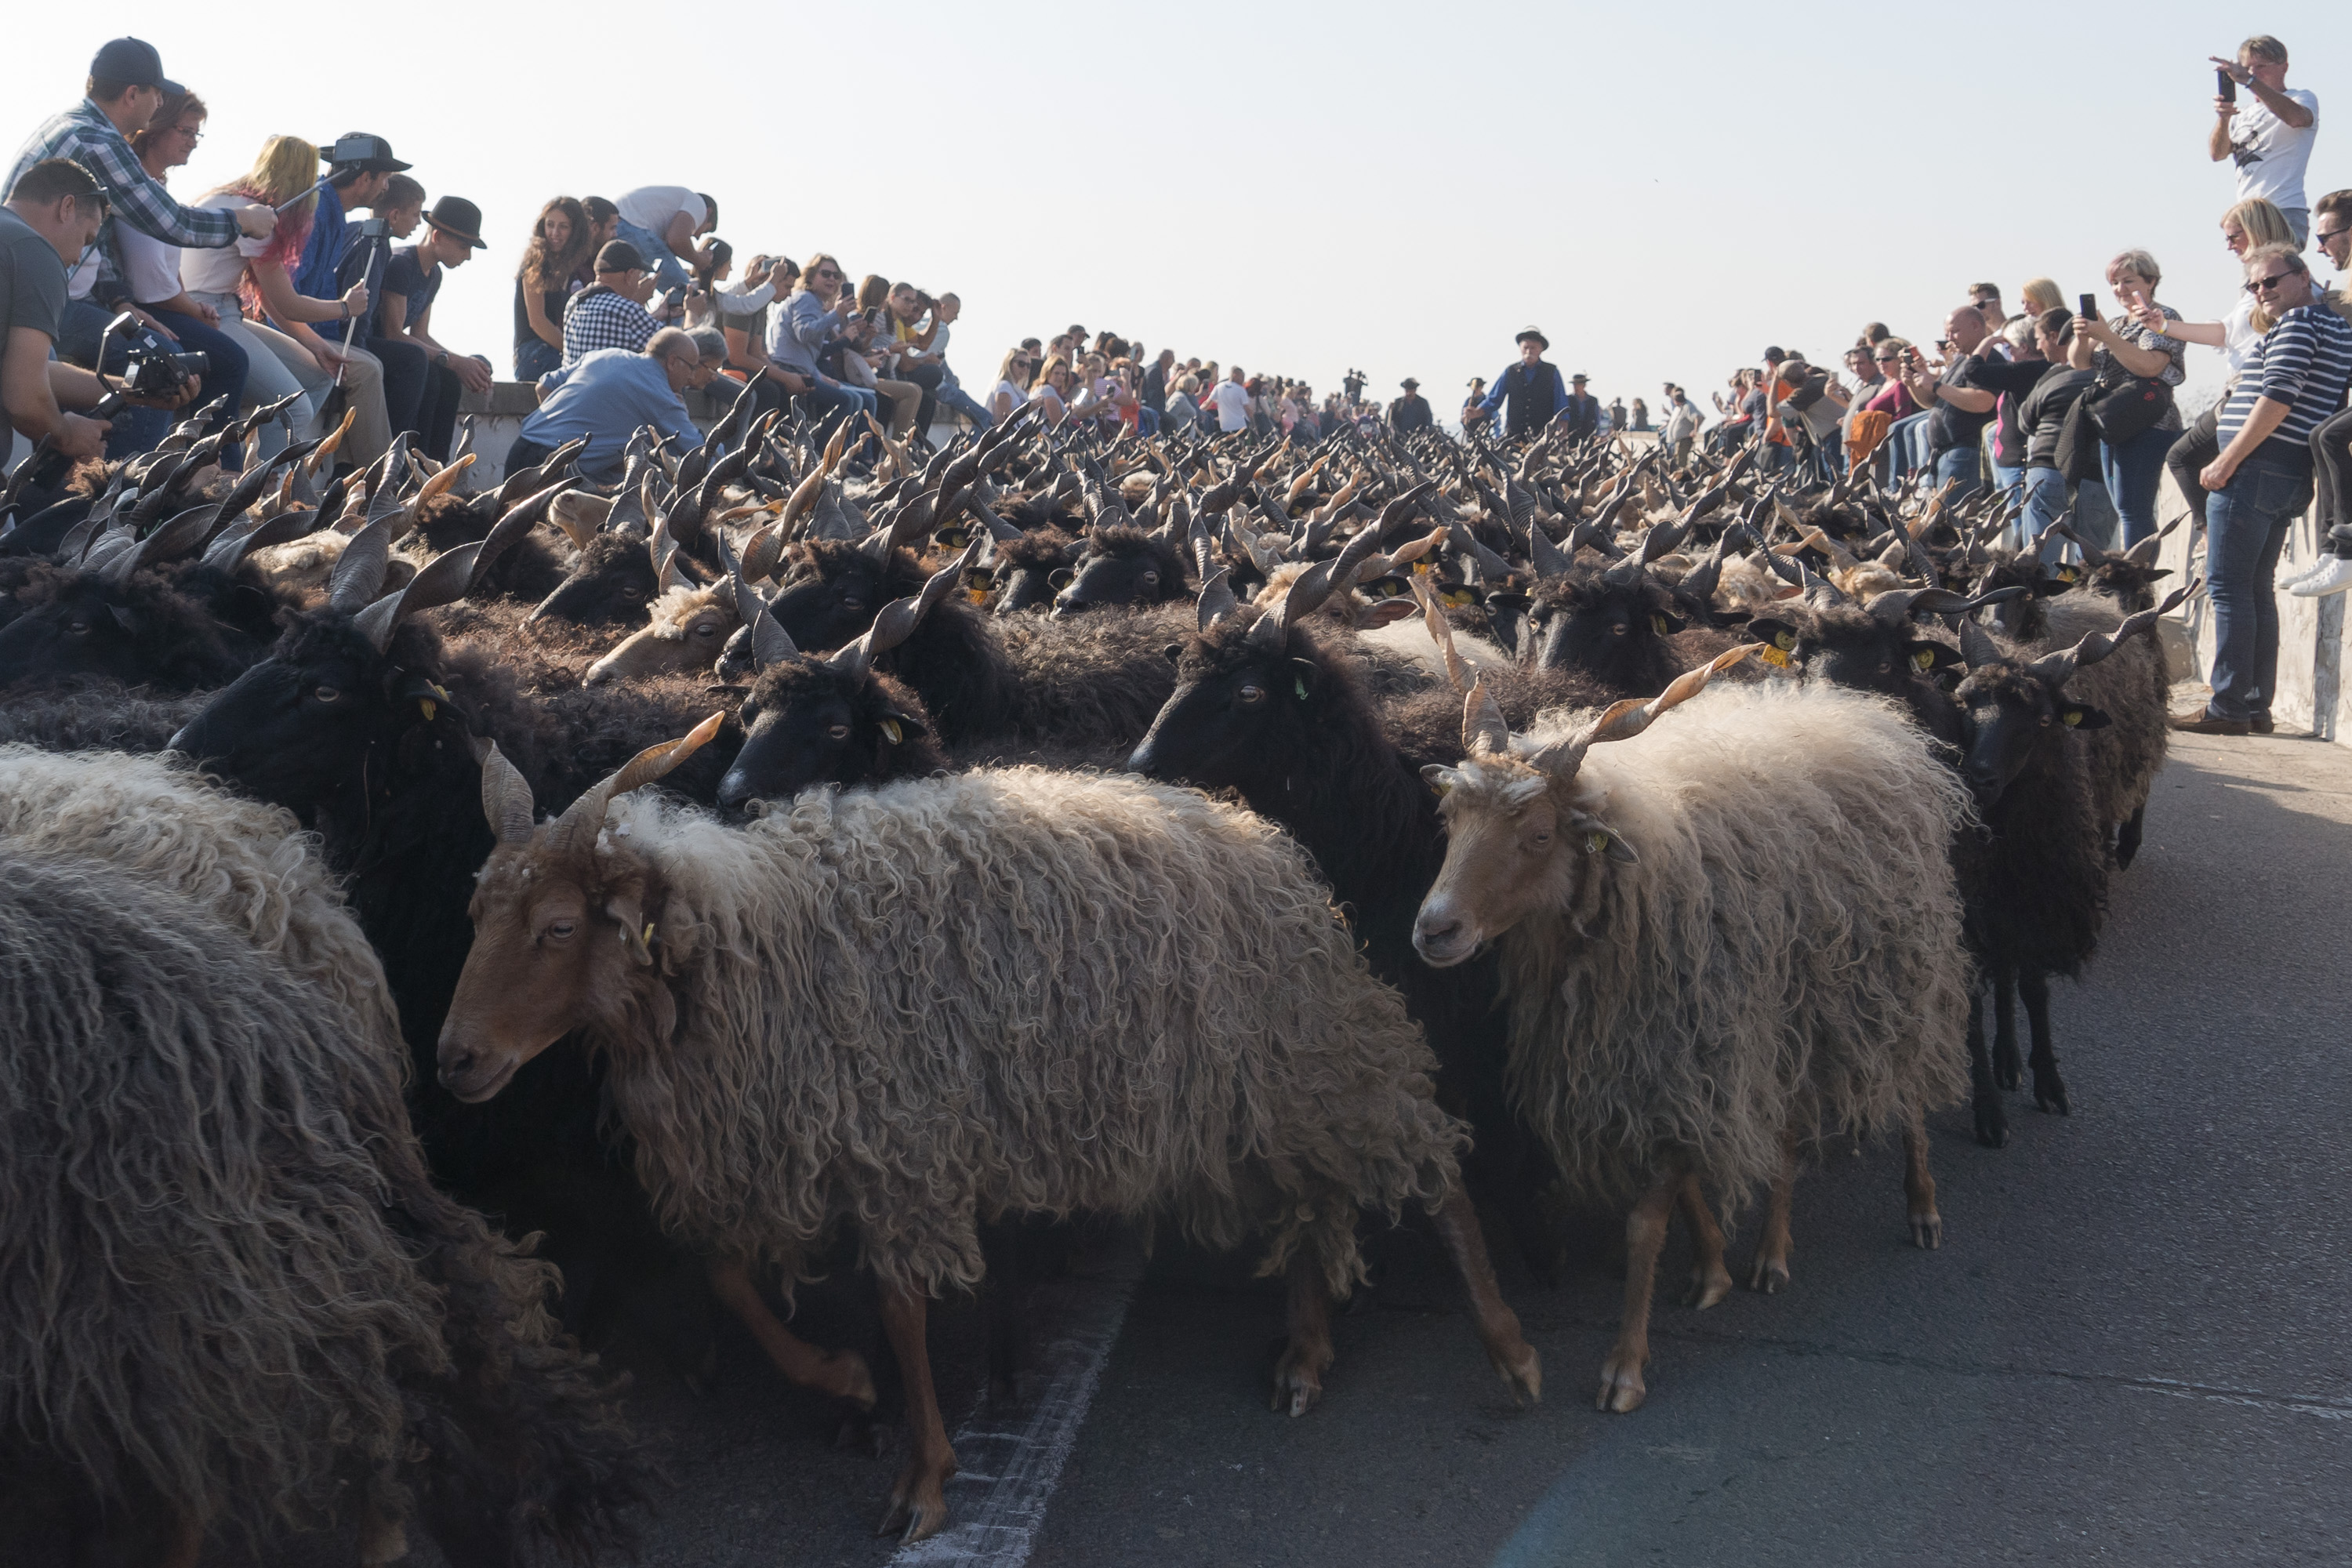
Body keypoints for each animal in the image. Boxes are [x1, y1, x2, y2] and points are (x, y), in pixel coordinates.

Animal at [437, 721, 1542, 1542]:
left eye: (557, 928)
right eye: (477, 913)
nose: (454, 1058)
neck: (741, 942)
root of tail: (1259, 838)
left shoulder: (902, 1140)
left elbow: (900, 1312)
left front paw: (923, 1479)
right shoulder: (781, 1148)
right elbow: (728, 1279)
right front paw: (844, 1383)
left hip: (1312, 1049)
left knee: (1426, 1165)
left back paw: (1507, 1345)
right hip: (1242, 1089)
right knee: (1311, 1198)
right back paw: (1308, 1351)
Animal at [1413, 655, 1972, 1412]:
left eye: (1539, 836)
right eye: (1451, 819)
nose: (1434, 930)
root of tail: (1866, 714)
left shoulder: (1693, 1048)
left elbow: (1647, 1222)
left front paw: (1625, 1367)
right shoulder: (1668, 1062)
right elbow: (1685, 1186)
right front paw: (1712, 1268)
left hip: (1891, 974)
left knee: (1910, 1085)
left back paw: (1921, 1207)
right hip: (1790, 1001)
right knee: (1788, 1126)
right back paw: (1771, 1252)